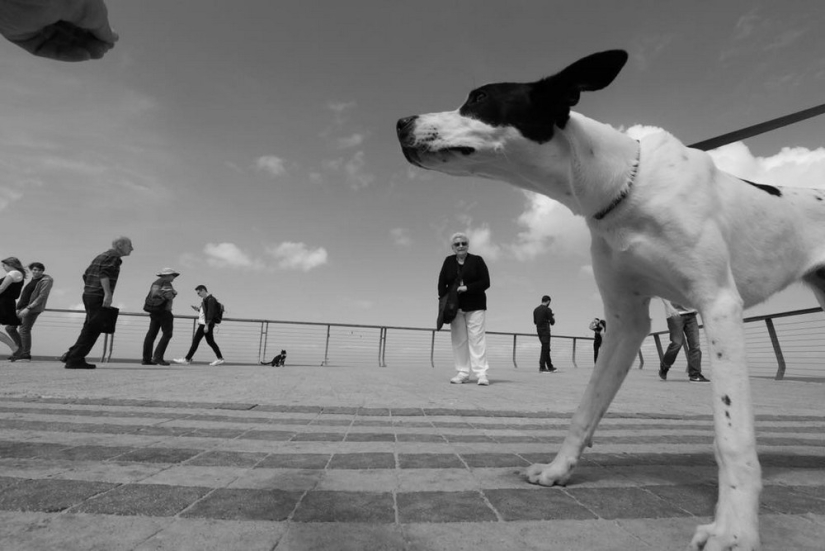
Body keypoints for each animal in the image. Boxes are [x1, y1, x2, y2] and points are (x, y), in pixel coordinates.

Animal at [396, 48, 820, 551]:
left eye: (478, 98)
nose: (400, 122)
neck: (620, 187)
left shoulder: (718, 305)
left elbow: (731, 435)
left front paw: (734, 529)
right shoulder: (624, 321)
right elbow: (587, 407)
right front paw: (557, 470)